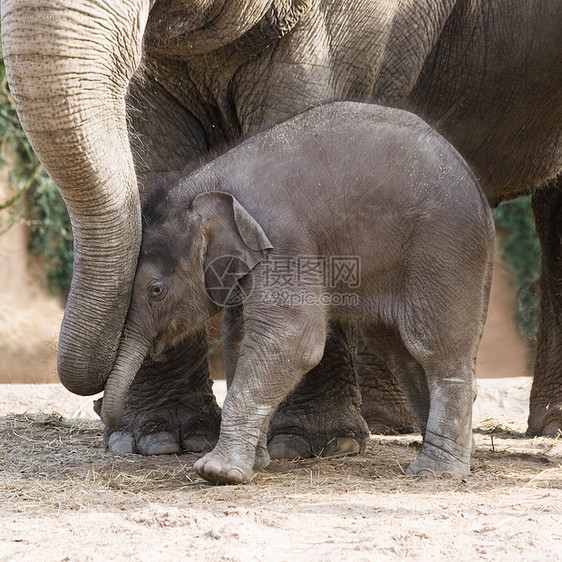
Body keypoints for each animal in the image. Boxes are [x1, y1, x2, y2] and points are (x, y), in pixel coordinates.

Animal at [98, 99, 492, 482]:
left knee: (435, 346)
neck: (210, 182)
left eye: (156, 289)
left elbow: (293, 339)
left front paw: (217, 472)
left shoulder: (283, 241)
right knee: (399, 350)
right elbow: (239, 341)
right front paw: (256, 463)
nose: (101, 409)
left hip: (442, 250)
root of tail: (479, 191)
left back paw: (435, 472)